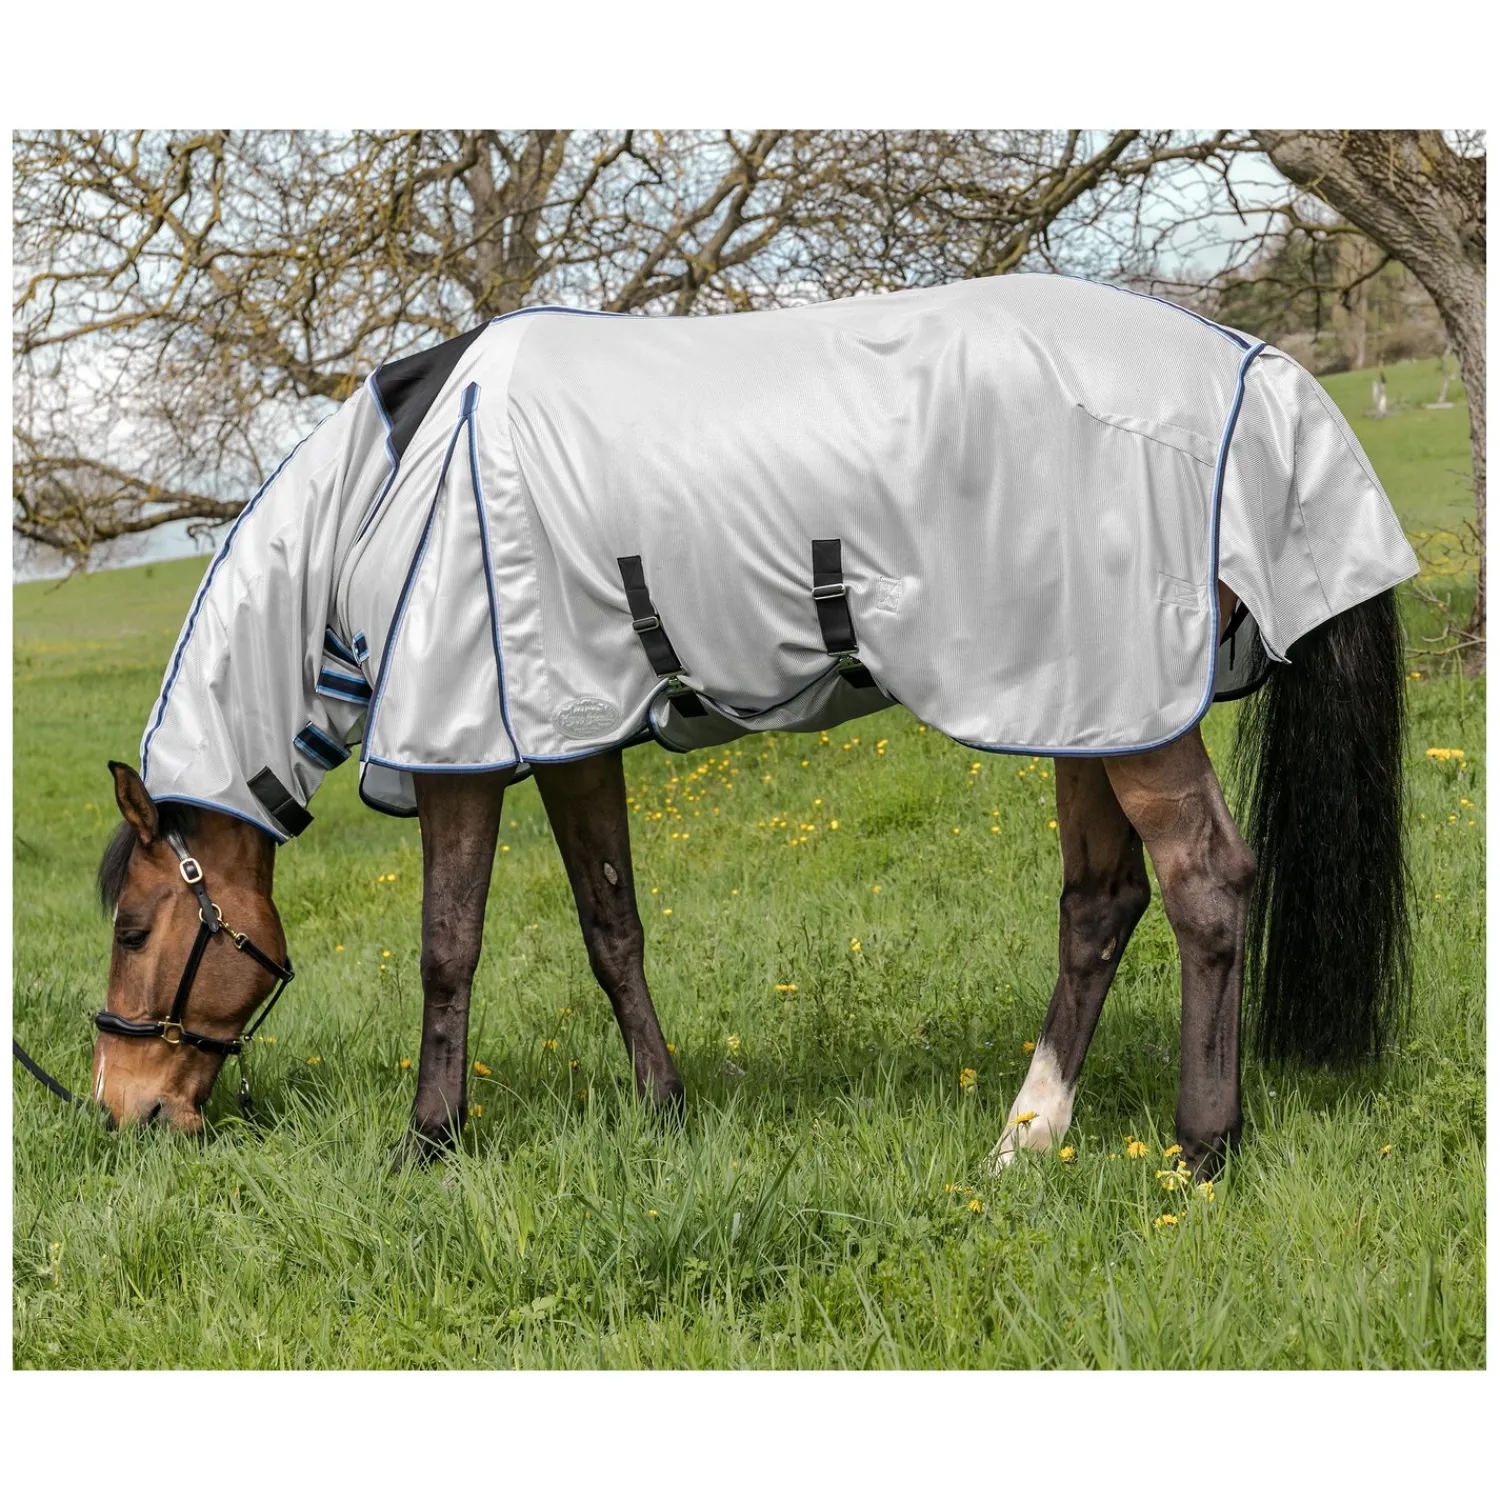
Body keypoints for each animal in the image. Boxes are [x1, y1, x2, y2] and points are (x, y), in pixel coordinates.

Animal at [88, 275, 1415, 1176]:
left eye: (138, 924)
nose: (123, 1108)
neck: (396, 486)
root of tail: (1257, 371)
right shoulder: (567, 735)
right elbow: (610, 927)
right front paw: (663, 1111)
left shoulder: (464, 748)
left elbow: (445, 946)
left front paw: (429, 1140)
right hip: (1093, 702)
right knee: (1102, 904)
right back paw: (1026, 1138)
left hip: (1130, 715)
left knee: (1205, 884)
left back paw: (1201, 1148)